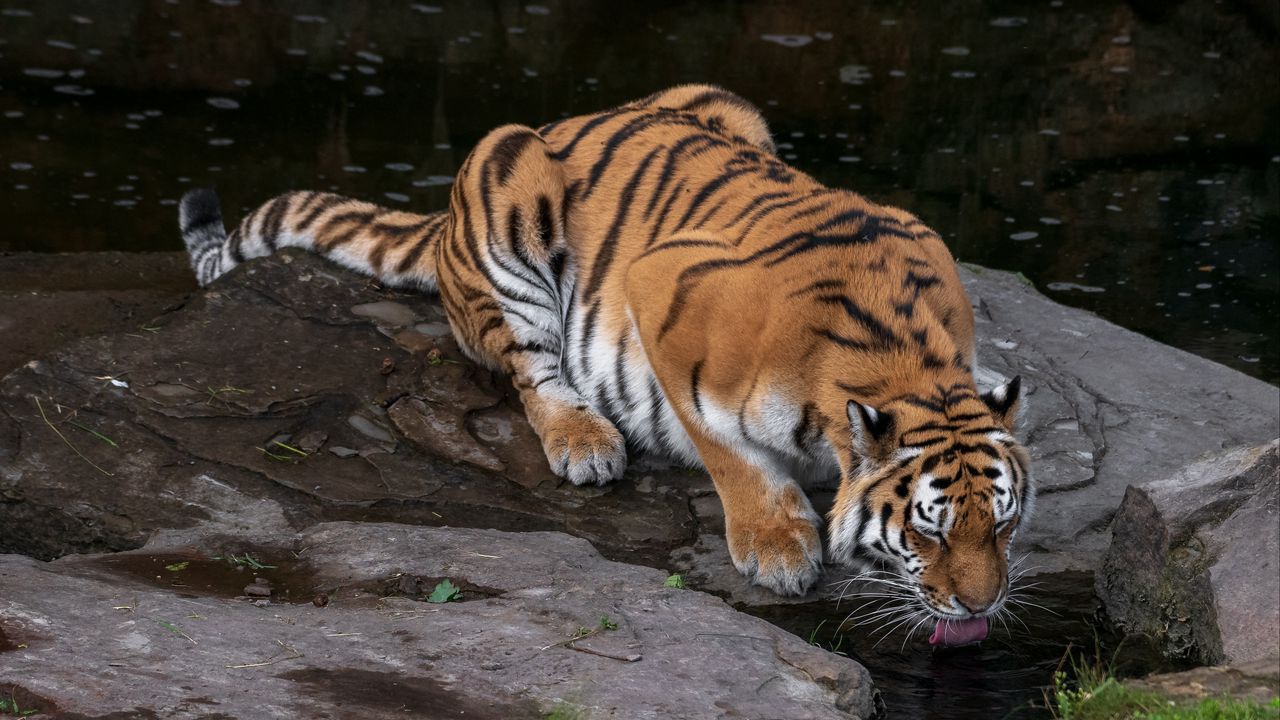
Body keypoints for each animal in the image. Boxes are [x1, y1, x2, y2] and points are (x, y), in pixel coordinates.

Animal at [177, 83, 1029, 638]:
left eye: (1003, 527)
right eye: (928, 534)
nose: (981, 607)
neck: (908, 367)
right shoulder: (663, 301)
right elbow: (727, 449)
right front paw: (777, 543)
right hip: (506, 178)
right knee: (532, 371)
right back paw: (584, 442)